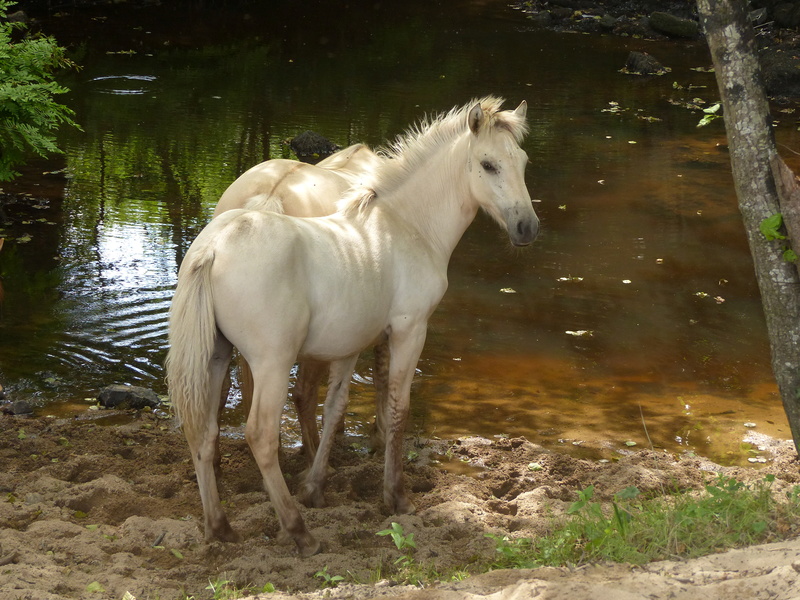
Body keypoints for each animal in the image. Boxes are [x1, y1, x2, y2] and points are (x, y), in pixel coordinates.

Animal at [170, 96, 544, 556]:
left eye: (522, 162)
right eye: (488, 164)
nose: (527, 228)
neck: (407, 224)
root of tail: (214, 248)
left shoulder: (349, 344)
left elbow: (334, 410)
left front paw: (315, 487)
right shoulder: (409, 332)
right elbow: (397, 408)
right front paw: (396, 497)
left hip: (216, 355)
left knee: (204, 432)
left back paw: (220, 527)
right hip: (272, 362)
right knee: (259, 435)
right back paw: (299, 532)